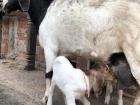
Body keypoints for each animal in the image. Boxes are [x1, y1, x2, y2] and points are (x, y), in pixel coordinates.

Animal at [2, 0, 140, 103]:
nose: (2, 6)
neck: (46, 10)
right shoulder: (63, 53)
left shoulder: (50, 47)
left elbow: (48, 74)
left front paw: (45, 97)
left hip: (135, 55)